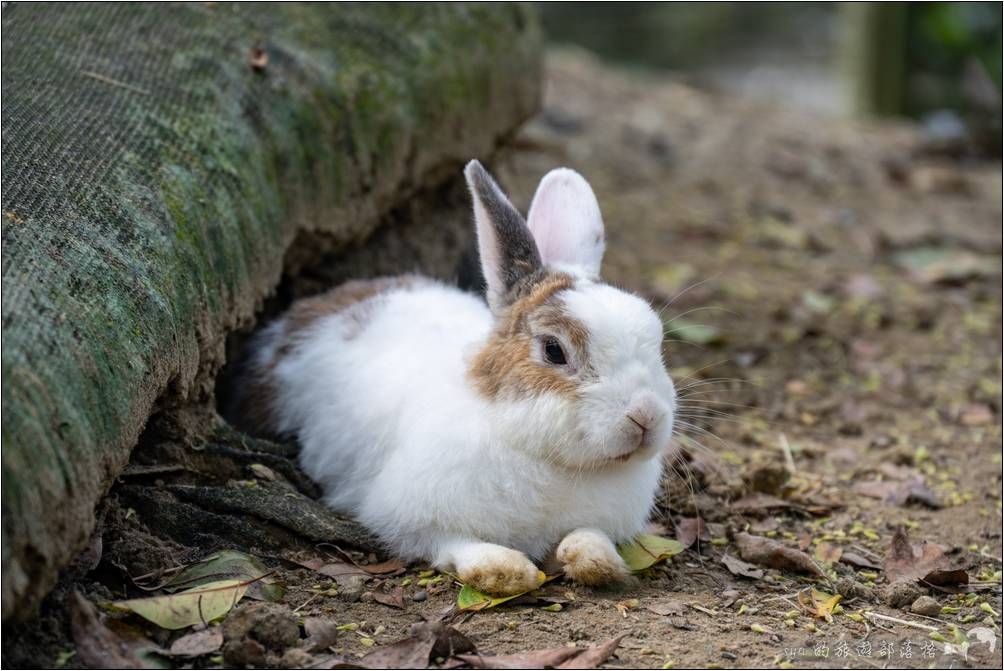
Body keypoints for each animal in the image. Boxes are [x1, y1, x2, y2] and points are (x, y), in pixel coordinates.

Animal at [233, 159, 674, 594]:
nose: (646, 416)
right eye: (554, 350)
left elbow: (586, 536)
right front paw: (504, 571)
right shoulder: (412, 517)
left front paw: (599, 562)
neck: (542, 453)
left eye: (656, 339)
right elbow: (453, 543)